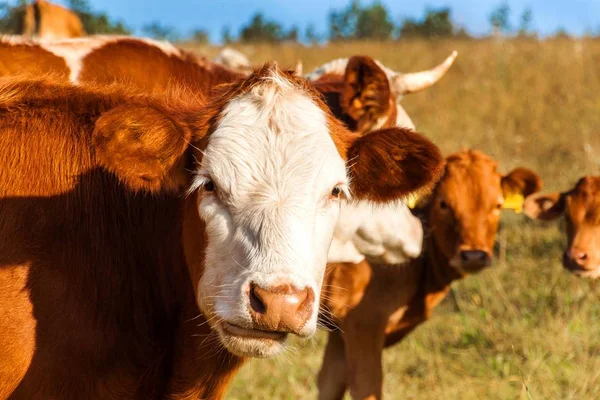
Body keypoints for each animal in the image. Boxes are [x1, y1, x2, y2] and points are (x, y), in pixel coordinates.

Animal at [318, 150, 544, 400]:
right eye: (443, 203)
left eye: (497, 204)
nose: (474, 255)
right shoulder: (363, 324)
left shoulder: (339, 332)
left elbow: (330, 385)